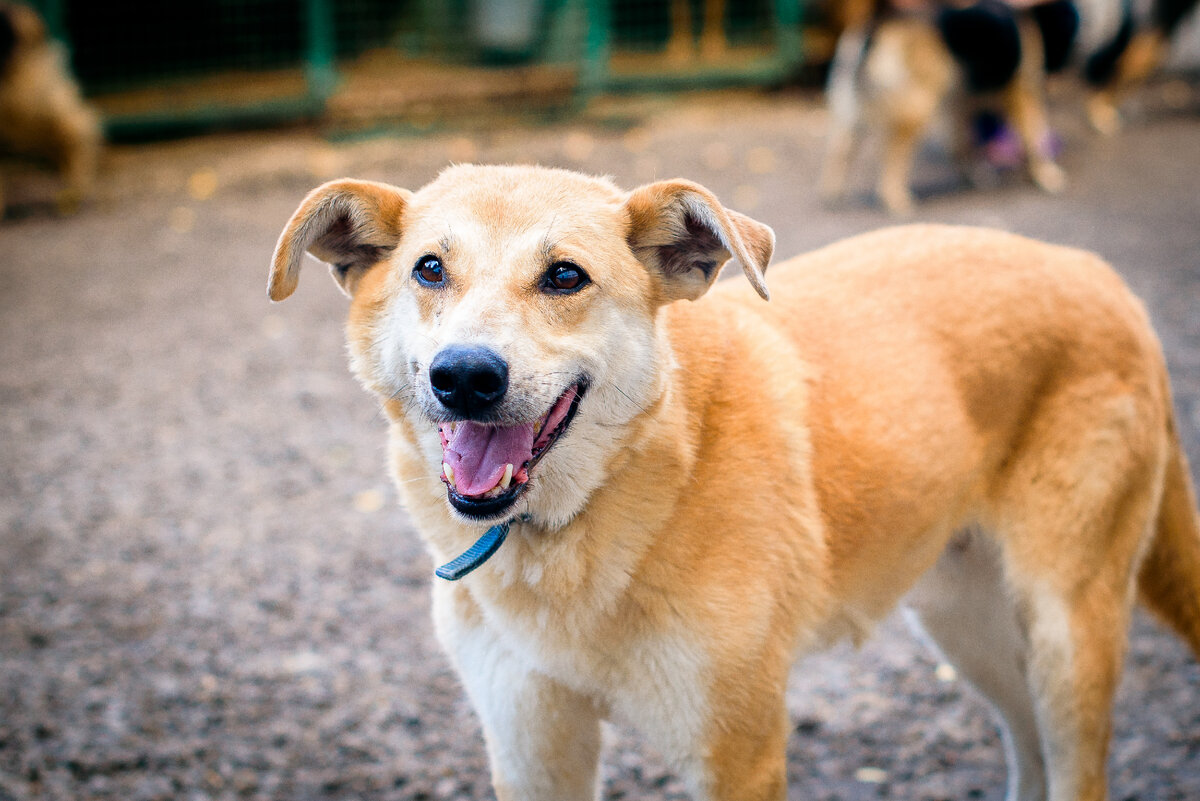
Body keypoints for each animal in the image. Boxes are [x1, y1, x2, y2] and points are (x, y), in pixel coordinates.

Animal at [270, 163, 1200, 801]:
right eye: (430, 270)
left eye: (565, 276)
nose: (465, 376)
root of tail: (1095, 269)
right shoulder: (530, 742)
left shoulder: (737, 750)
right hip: (968, 626)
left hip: (1066, 634)